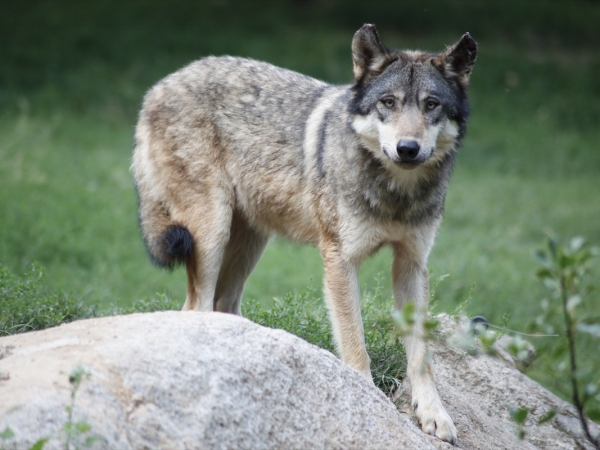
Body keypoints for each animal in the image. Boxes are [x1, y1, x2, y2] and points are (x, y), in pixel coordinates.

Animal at [134, 24, 476, 442]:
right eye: (388, 102)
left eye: (431, 105)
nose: (407, 148)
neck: (395, 194)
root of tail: (159, 86)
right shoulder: (340, 261)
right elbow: (355, 344)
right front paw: (366, 401)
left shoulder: (412, 264)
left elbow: (421, 355)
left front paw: (433, 413)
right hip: (210, 232)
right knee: (193, 308)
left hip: (249, 245)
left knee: (222, 306)